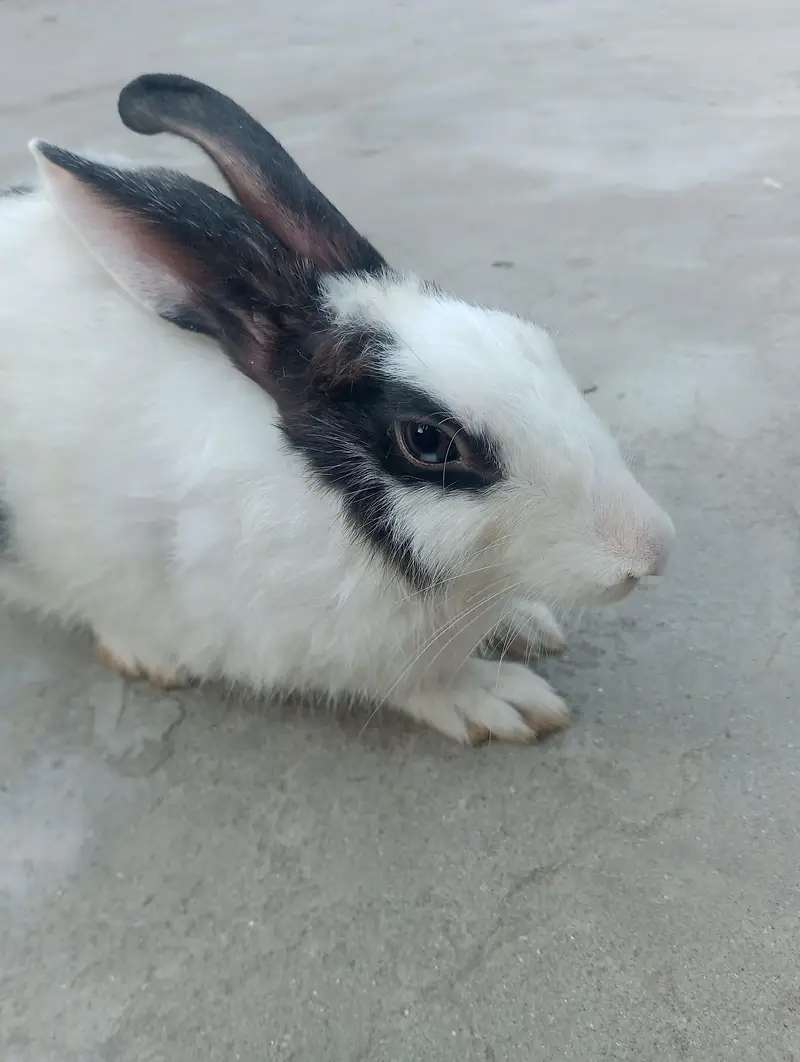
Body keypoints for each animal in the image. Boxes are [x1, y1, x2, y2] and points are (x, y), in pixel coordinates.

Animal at [0, 73, 674, 745]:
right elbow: (420, 684)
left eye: (528, 337)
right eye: (427, 441)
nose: (651, 553)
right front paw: (506, 702)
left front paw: (527, 624)